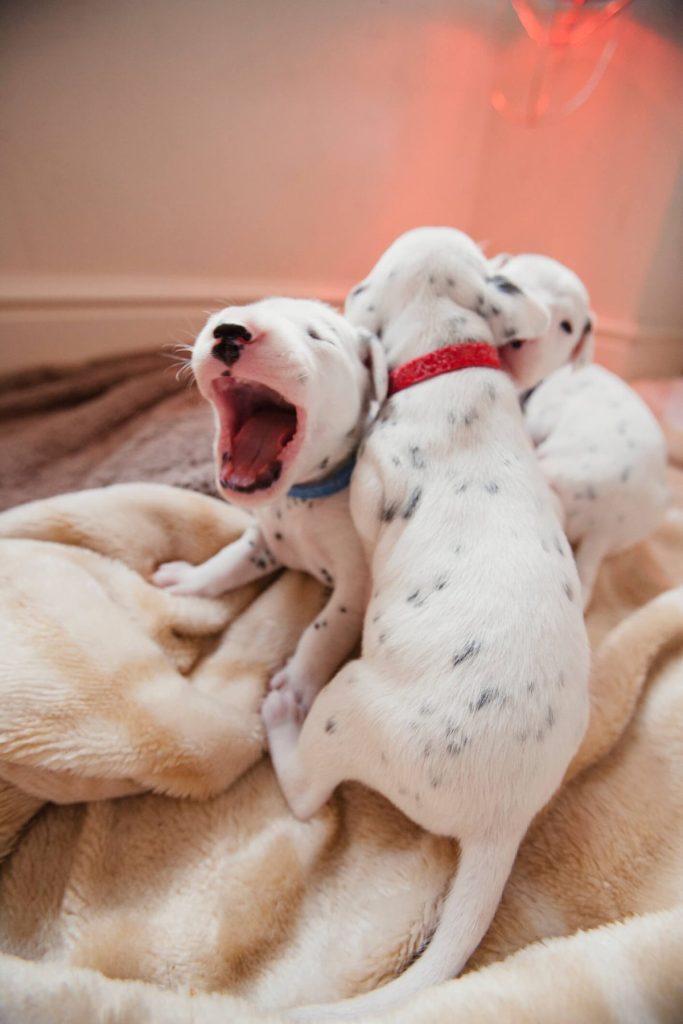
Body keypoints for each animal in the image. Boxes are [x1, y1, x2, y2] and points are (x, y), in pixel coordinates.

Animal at [152, 299, 385, 708]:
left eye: (317, 335)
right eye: (230, 314)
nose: (230, 330)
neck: (301, 499)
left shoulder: (357, 582)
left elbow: (328, 627)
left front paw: (295, 688)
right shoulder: (265, 538)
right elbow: (228, 561)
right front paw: (191, 578)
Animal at [262, 226, 589, 1015]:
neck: (452, 352)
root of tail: (504, 822)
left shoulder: (371, 486)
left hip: (347, 705)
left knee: (306, 795)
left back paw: (282, 717)